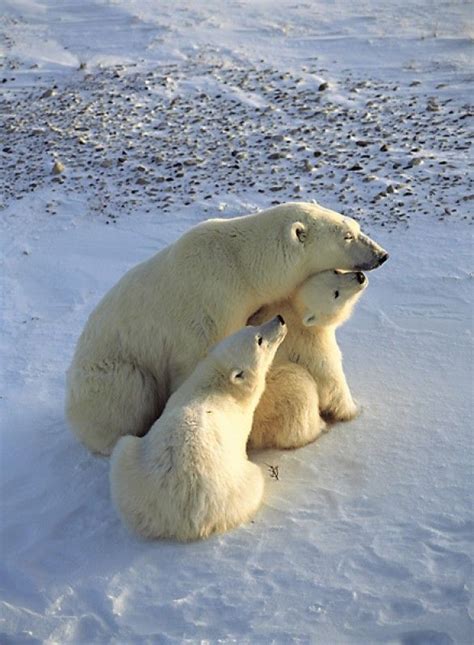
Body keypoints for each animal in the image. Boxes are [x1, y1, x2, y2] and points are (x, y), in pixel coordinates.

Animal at [110, 314, 286, 540]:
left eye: (252, 326)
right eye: (259, 340)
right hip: (236, 489)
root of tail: (183, 518)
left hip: (132, 482)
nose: (280, 318)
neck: (217, 382)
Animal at [250, 270, 368, 450]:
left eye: (336, 271)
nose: (360, 277)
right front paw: (354, 410)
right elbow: (331, 381)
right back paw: (319, 428)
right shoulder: (310, 342)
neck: (295, 311)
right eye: (336, 294)